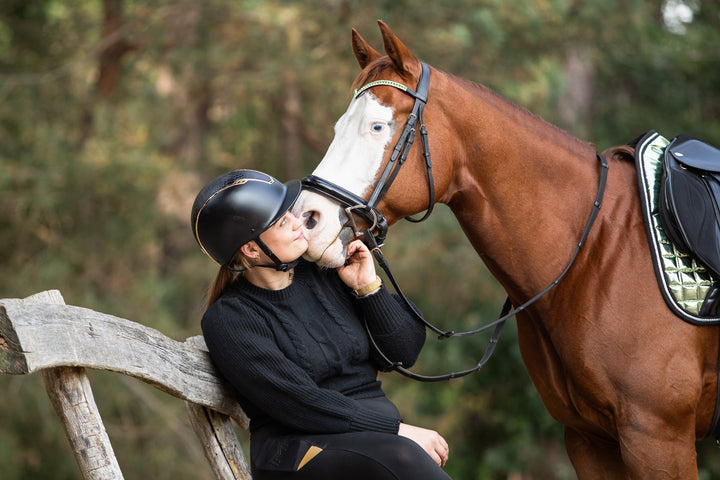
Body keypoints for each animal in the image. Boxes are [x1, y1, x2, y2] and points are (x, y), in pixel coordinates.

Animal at [290, 20, 716, 478]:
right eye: (339, 128)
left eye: (377, 127)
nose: (308, 219)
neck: (597, 250)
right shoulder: (589, 440)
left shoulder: (656, 436)